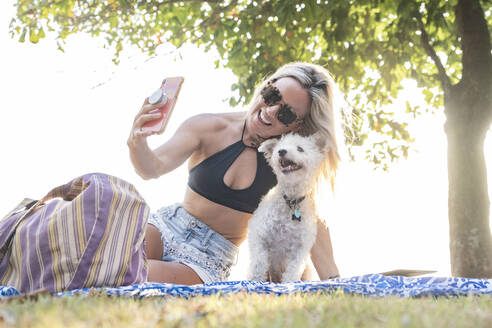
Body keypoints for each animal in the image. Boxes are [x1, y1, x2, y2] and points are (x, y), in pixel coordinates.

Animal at [246, 132, 330, 284]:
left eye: (300, 149)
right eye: (279, 148)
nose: (281, 151)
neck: (291, 200)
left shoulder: (299, 249)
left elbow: (292, 271)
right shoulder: (259, 235)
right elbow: (259, 263)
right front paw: (255, 280)